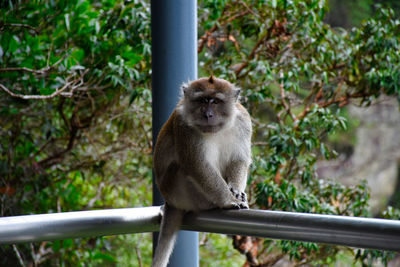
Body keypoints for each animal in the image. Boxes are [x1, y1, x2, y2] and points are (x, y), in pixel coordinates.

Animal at [152, 75, 252, 267]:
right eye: (203, 100)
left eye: (216, 101)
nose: (208, 114)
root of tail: (170, 201)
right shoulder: (184, 127)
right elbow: (198, 165)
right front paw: (228, 200)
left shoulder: (243, 120)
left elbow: (239, 159)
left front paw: (236, 191)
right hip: (181, 192)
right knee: (181, 167)